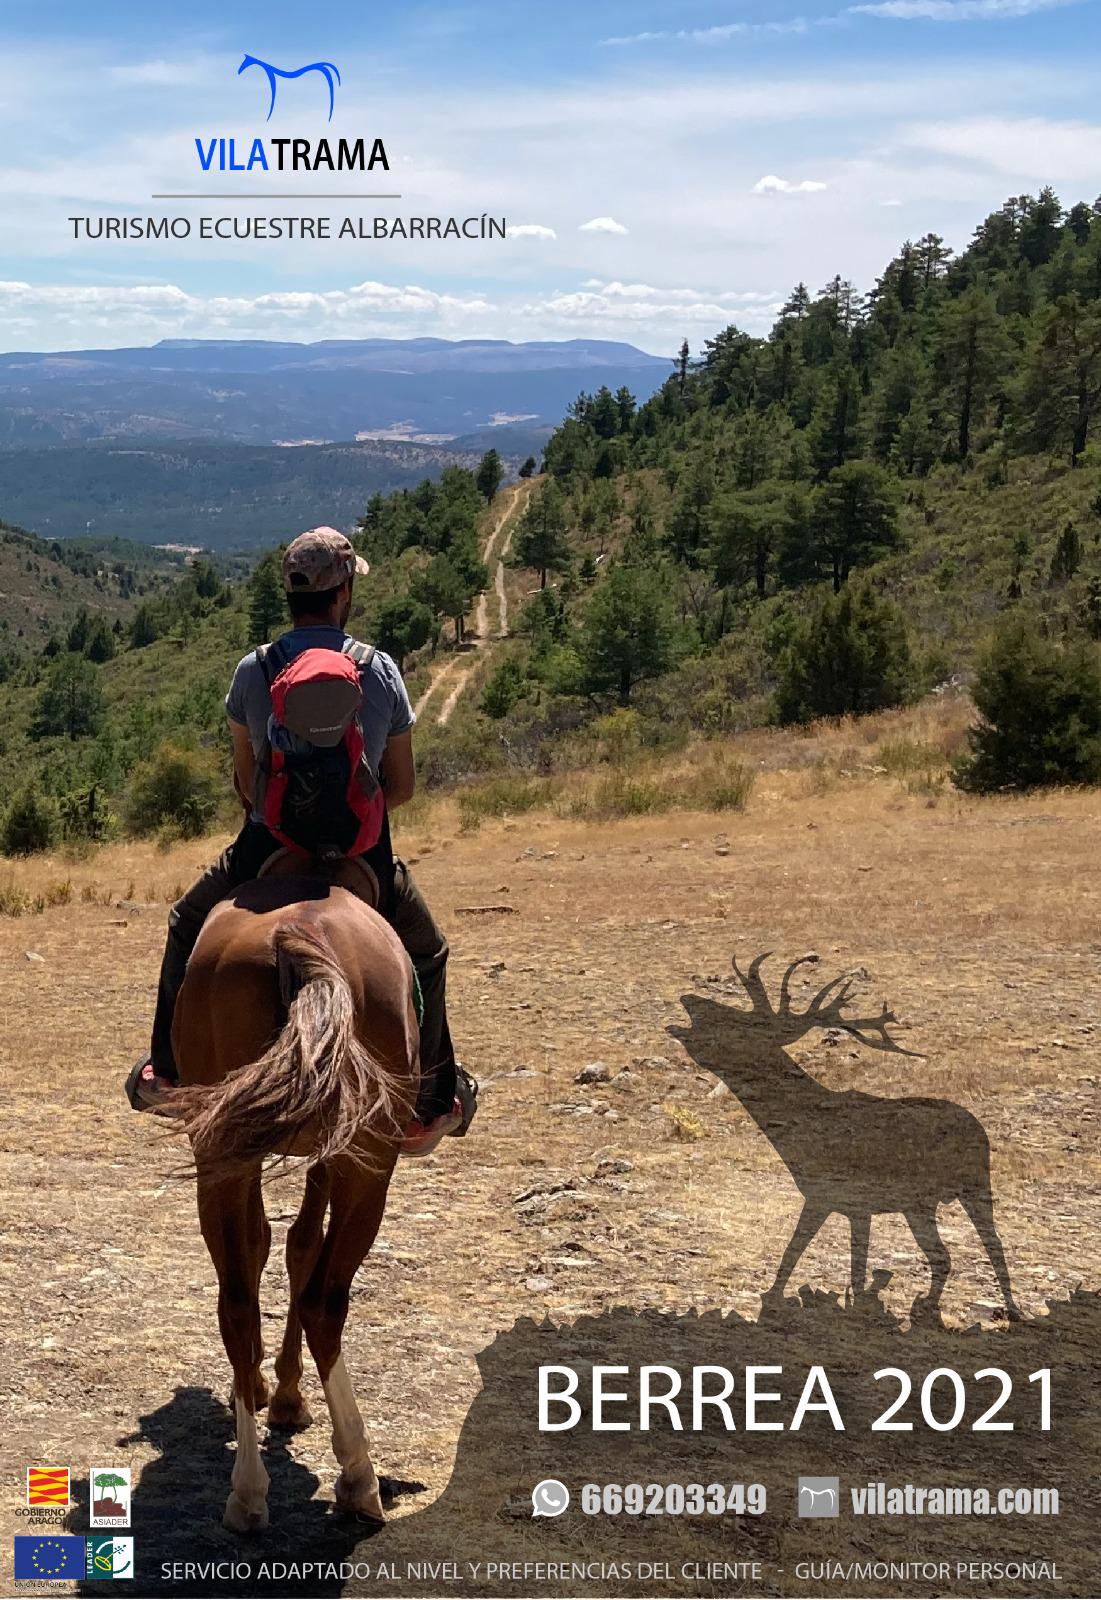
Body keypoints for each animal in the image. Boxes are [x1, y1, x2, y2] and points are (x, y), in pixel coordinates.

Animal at [169, 859, 419, 1532]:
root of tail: (297, 935)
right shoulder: (328, 1159)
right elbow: (301, 1249)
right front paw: (281, 1394)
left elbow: (276, 1246)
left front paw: (268, 1390)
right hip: (363, 1161)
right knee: (321, 1300)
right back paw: (355, 1476)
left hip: (227, 1153)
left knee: (242, 1300)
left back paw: (250, 1488)